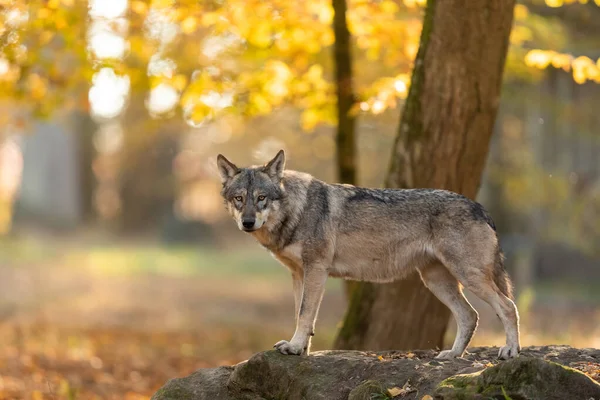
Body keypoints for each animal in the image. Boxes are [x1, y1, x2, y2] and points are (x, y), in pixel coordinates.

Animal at [216, 149, 520, 360]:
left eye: (261, 198)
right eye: (239, 198)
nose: (248, 223)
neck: (296, 211)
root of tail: (479, 207)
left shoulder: (316, 270)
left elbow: (305, 314)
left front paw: (295, 347)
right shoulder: (298, 274)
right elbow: (301, 316)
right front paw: (299, 349)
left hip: (467, 277)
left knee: (507, 307)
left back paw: (510, 352)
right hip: (436, 281)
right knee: (470, 316)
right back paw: (453, 355)